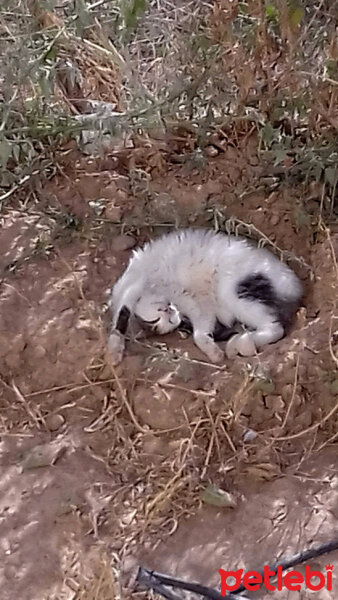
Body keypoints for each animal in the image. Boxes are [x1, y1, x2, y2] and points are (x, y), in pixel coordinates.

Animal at [107, 227, 302, 364]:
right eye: (164, 322)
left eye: (157, 319)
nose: (170, 313)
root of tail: (295, 290)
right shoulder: (199, 308)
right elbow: (200, 331)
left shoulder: (133, 285)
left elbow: (120, 318)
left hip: (233, 291)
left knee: (276, 329)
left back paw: (239, 343)